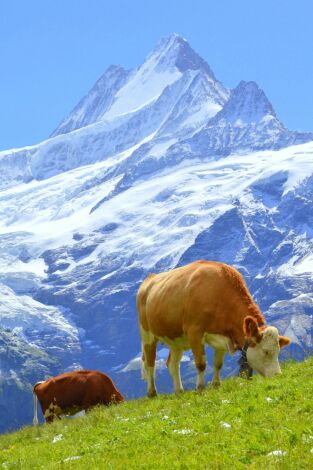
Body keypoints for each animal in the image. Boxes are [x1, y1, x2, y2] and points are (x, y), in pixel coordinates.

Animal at [136, 260, 290, 396]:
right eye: (265, 351)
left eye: (278, 351)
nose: (277, 375)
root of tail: (150, 278)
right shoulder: (195, 332)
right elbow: (201, 363)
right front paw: (200, 389)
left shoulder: (223, 336)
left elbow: (218, 364)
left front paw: (216, 385)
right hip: (147, 333)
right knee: (150, 363)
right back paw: (152, 393)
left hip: (175, 338)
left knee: (172, 364)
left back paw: (179, 391)